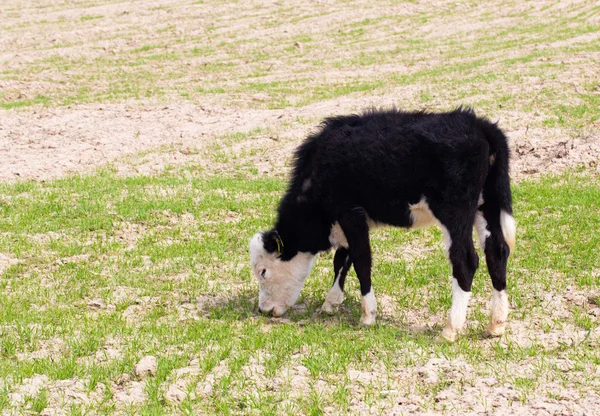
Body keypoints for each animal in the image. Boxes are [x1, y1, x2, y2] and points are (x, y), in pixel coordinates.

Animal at [248, 107, 516, 342]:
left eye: (263, 271)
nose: (263, 310)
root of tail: (480, 125)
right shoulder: (347, 221)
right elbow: (342, 260)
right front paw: (331, 302)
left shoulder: (350, 213)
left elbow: (361, 260)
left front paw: (368, 316)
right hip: (487, 205)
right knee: (497, 252)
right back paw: (496, 325)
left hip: (455, 212)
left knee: (466, 261)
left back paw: (450, 329)